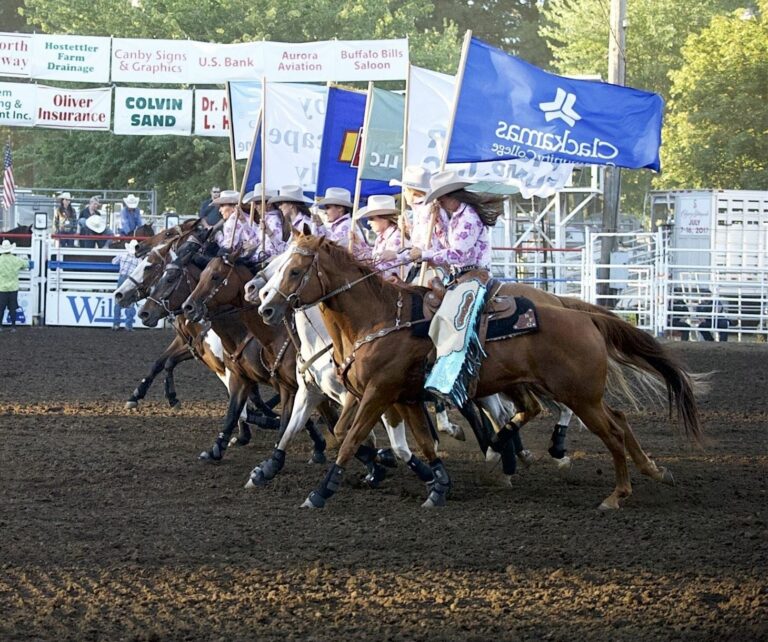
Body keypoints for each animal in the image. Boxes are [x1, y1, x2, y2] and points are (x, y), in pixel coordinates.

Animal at [258, 235, 704, 510]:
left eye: (294, 271)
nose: (265, 306)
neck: (378, 320)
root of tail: (581, 315)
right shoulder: (396, 396)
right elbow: (411, 443)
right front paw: (436, 485)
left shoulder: (379, 393)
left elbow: (349, 440)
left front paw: (320, 493)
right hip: (573, 393)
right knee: (618, 420)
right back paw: (652, 470)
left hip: (578, 395)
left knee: (610, 431)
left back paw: (616, 494)